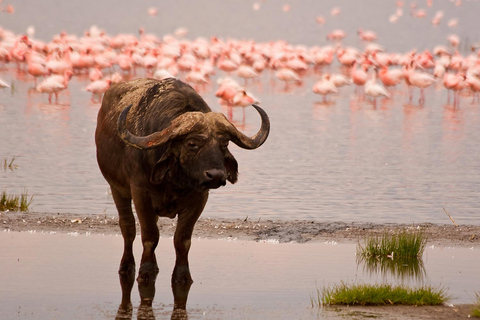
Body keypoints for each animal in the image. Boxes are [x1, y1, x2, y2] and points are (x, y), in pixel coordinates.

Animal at [94, 78, 270, 284]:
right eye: (192, 144)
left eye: (224, 143)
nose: (216, 175)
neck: (174, 182)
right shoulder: (140, 193)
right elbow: (150, 236)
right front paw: (146, 272)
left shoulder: (199, 199)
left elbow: (182, 240)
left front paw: (182, 275)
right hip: (116, 189)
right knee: (127, 227)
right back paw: (127, 266)